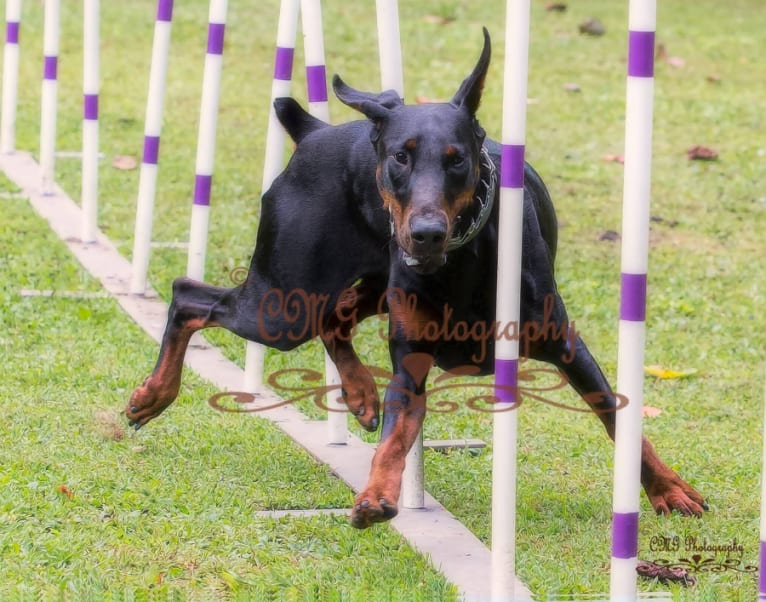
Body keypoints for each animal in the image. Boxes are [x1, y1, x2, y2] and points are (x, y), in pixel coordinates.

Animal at [127, 28, 708, 528]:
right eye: (399, 158)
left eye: (456, 160)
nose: (426, 234)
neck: (462, 261)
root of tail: (316, 133)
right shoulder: (410, 359)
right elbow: (395, 434)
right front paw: (376, 495)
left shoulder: (563, 343)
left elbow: (617, 416)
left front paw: (670, 490)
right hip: (284, 302)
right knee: (189, 295)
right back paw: (153, 395)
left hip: (359, 288)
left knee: (331, 322)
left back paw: (359, 393)